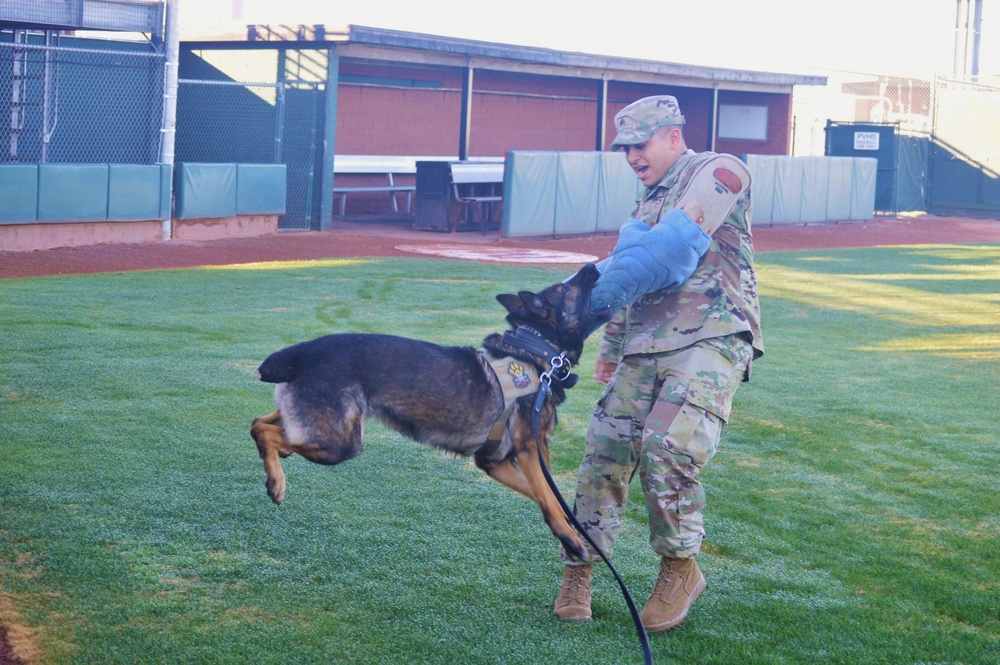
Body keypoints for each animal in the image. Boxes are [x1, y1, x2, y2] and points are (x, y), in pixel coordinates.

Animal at [250, 262, 612, 556]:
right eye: (566, 288)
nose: (591, 266)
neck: (536, 351)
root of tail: (302, 352)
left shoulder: (493, 462)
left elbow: (545, 495)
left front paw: (569, 526)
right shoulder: (528, 450)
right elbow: (549, 497)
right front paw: (570, 538)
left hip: (326, 424)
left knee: (259, 423)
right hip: (339, 442)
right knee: (266, 431)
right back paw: (277, 482)